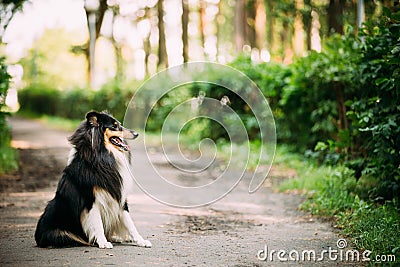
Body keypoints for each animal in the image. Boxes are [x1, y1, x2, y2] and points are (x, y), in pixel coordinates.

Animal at [34, 111, 152, 249]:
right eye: (114, 126)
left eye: (119, 124)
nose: (136, 134)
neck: (101, 158)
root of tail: (37, 237)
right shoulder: (91, 201)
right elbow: (97, 223)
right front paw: (103, 242)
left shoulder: (119, 197)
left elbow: (130, 223)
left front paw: (141, 241)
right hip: (59, 231)